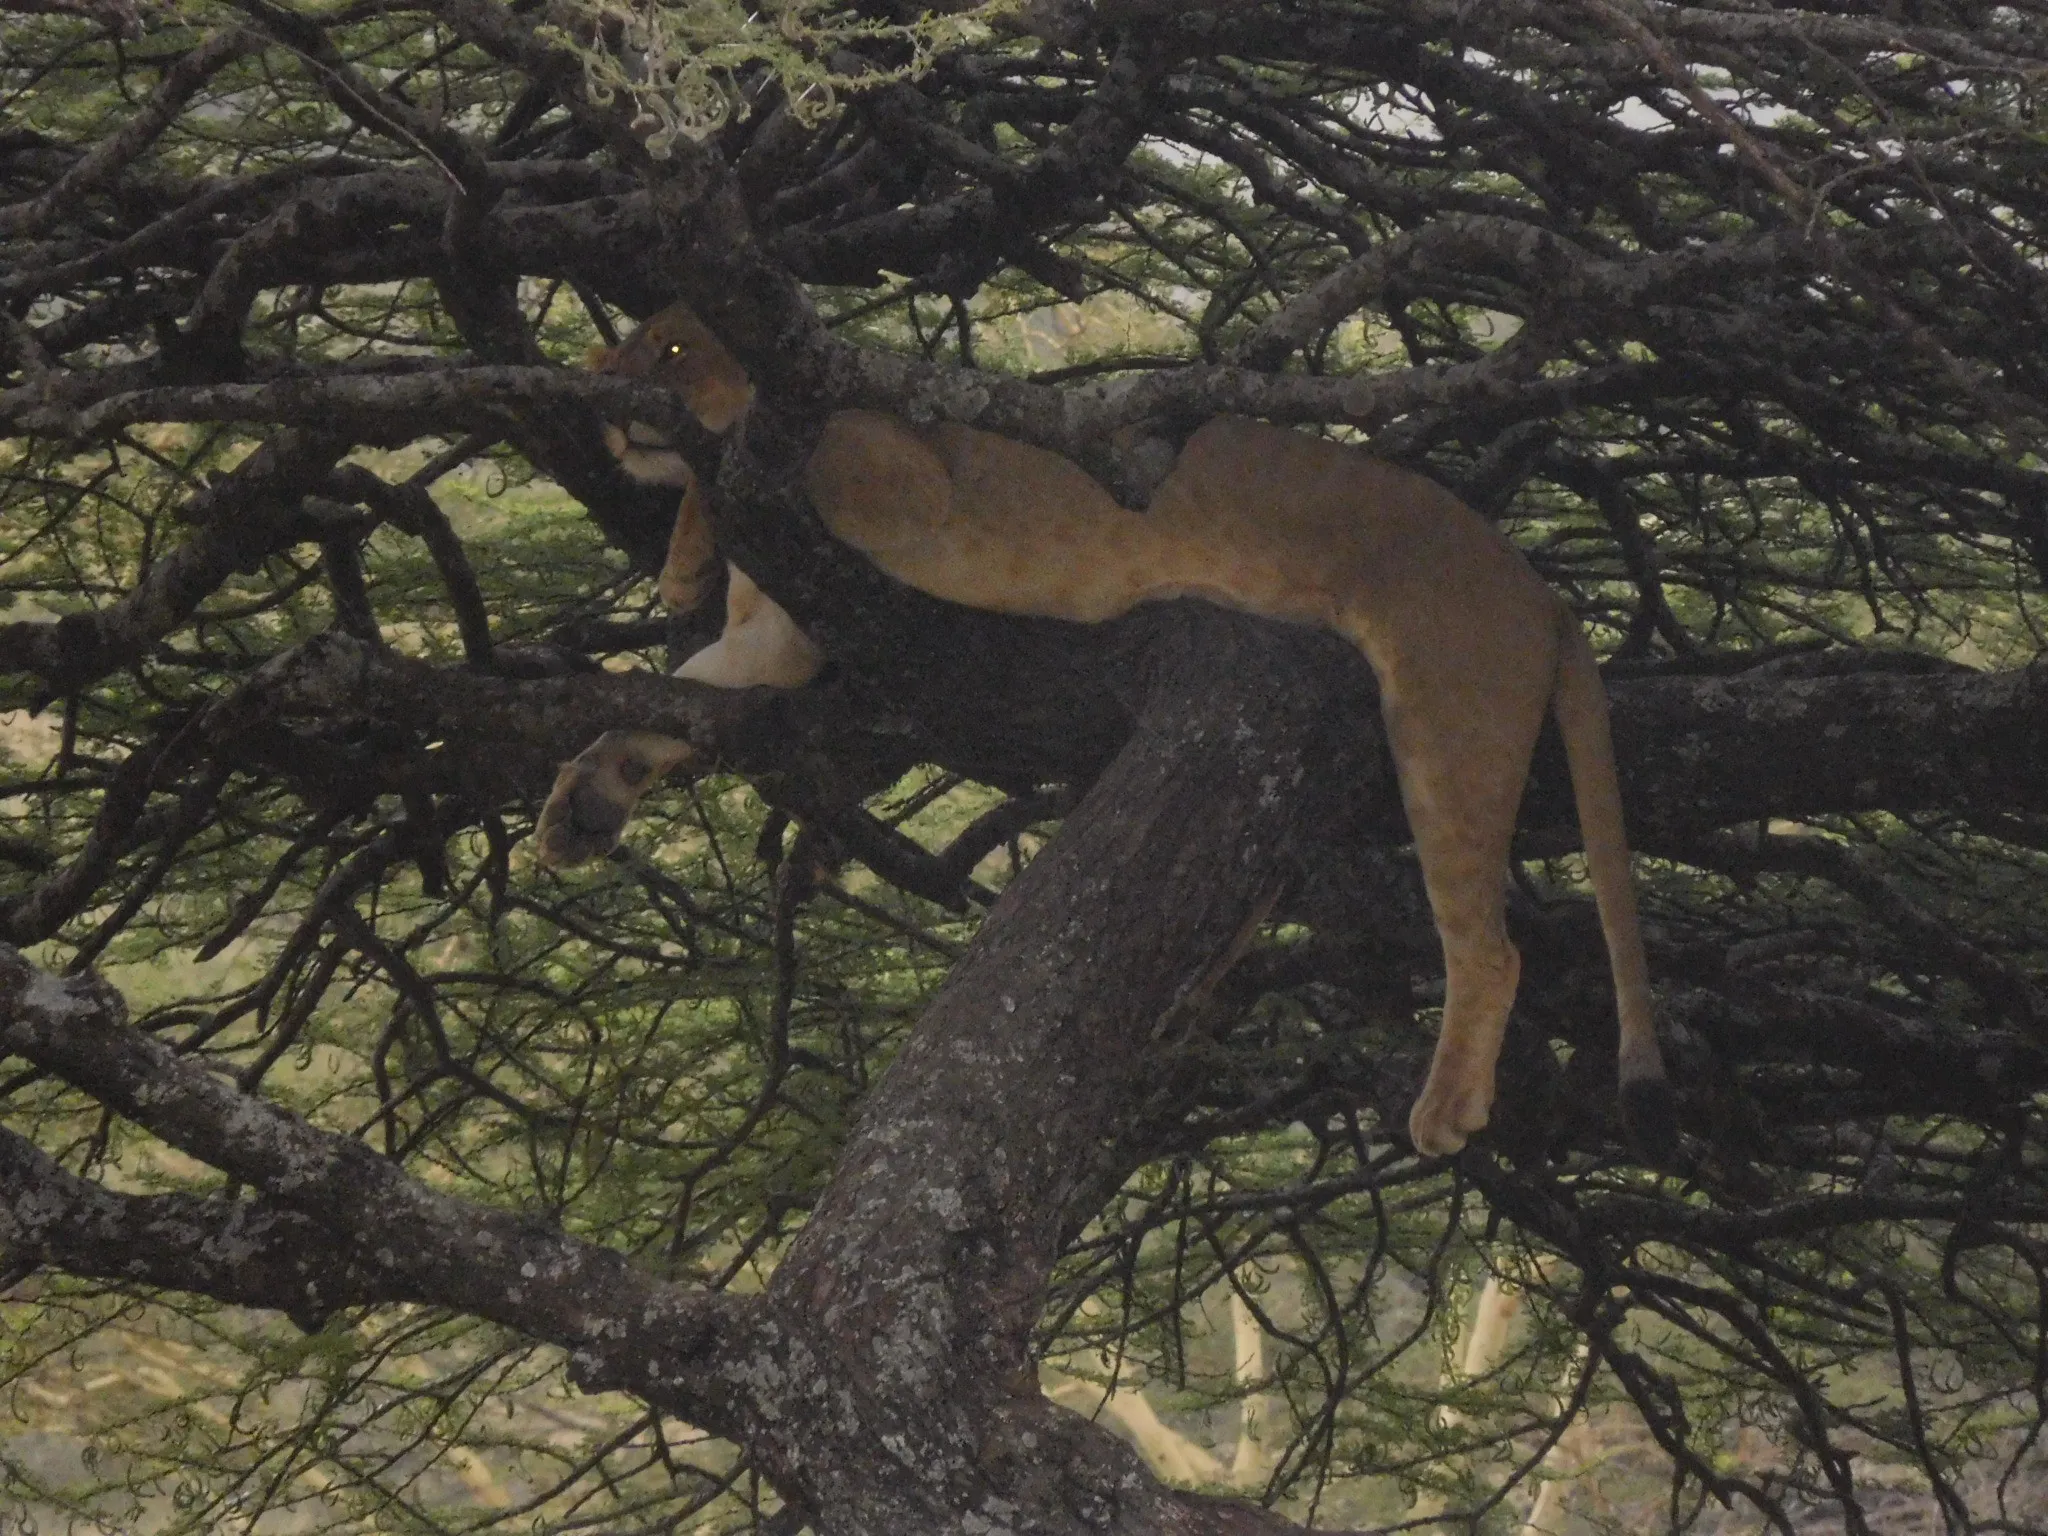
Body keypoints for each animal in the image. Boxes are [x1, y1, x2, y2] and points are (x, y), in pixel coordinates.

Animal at [538, 302, 1668, 1157]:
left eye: (670, 352)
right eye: (622, 355)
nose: (611, 408)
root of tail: (1537, 588)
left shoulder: (902, 479)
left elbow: (724, 461)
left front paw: (682, 554)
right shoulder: (777, 639)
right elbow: (662, 705)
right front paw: (585, 801)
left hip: (1445, 719)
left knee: (1490, 948)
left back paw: (1445, 1109)